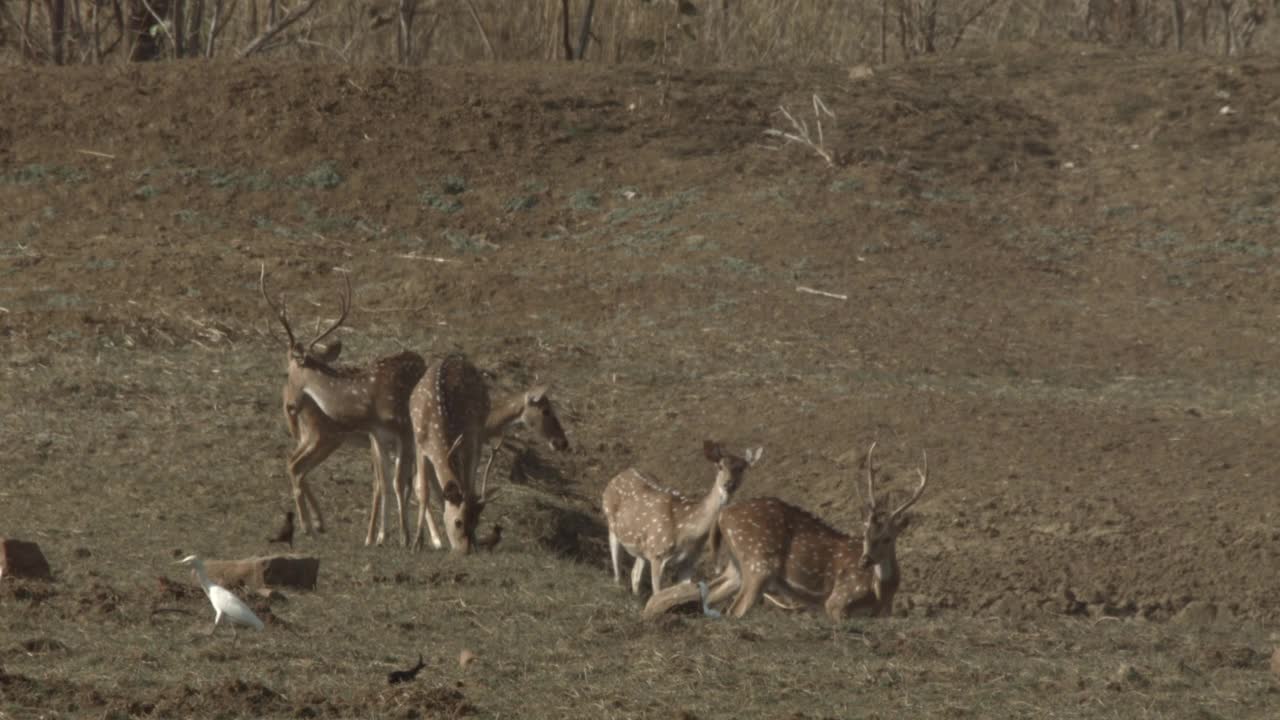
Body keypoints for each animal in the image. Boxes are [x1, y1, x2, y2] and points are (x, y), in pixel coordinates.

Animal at [262, 267, 427, 543]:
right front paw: (383, 536)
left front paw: (394, 536)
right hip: (322, 436)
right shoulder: (380, 437)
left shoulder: (400, 432)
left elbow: (393, 482)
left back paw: (315, 524)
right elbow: (387, 482)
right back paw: (312, 525)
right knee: (295, 464)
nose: (289, 406)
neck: (369, 401)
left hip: (321, 436)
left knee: (295, 464)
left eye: (287, 372)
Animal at [599, 440, 757, 597]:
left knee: (635, 573)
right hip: (611, 521)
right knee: (617, 563)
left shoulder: (689, 560)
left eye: (741, 469)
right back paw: (618, 587)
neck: (687, 532)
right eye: (720, 466)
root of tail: (620, 474)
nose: (729, 484)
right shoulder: (658, 553)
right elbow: (657, 593)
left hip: (642, 546)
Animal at [645, 440, 926, 620]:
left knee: (711, 594)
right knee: (735, 610)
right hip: (758, 563)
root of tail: (722, 516)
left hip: (737, 566)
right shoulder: (837, 600)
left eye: (888, 538)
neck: (881, 592)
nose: (865, 560)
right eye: (865, 534)